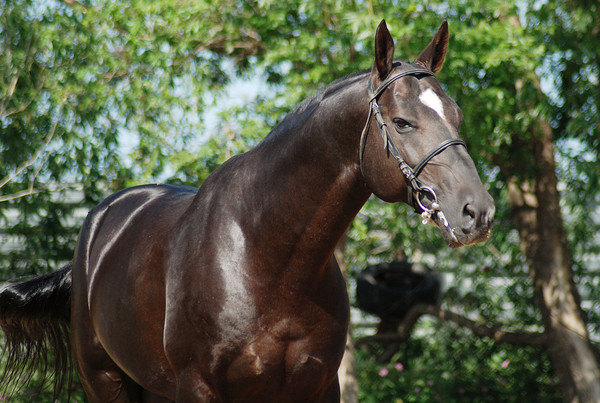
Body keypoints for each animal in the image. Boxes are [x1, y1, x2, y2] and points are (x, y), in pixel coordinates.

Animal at [0, 20, 492, 402]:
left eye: (457, 114)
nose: (477, 212)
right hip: (106, 382)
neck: (267, 259)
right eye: (402, 122)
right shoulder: (200, 390)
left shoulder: (315, 389)